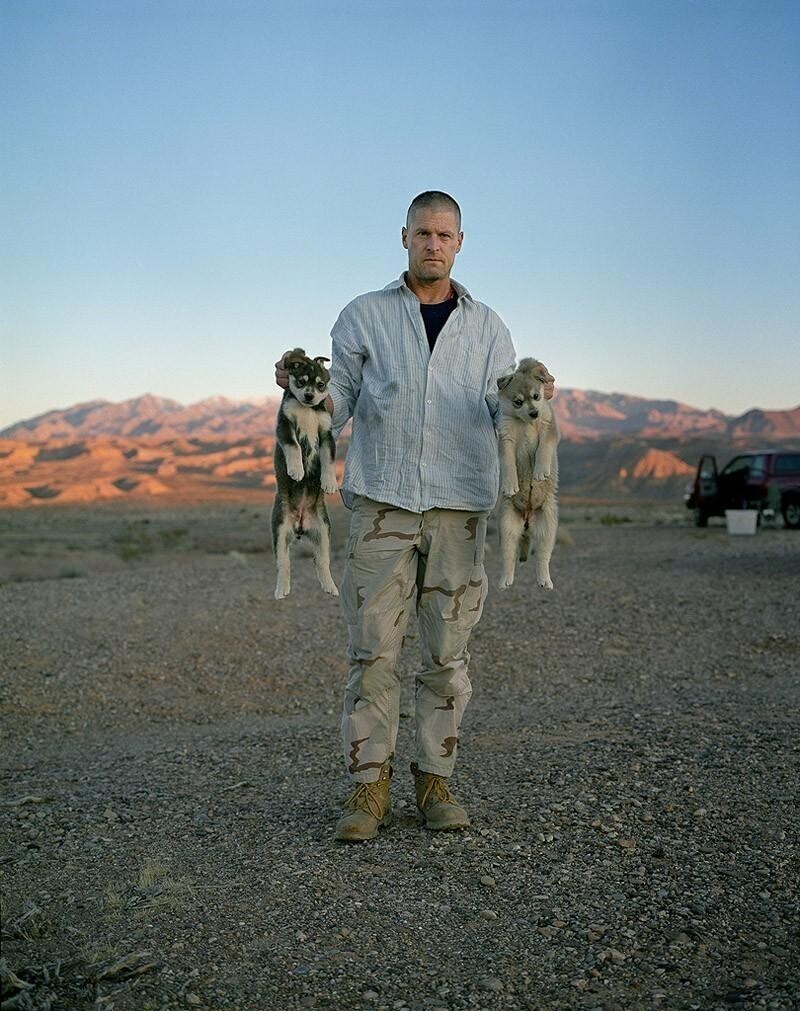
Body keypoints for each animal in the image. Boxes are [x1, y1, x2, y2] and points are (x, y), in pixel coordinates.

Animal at [273, 349, 337, 598]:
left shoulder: (327, 434)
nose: (310, 396)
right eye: (301, 381)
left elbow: (328, 461)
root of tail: (300, 525)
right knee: (284, 563)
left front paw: (330, 482)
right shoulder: (284, 424)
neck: (307, 410)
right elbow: (294, 447)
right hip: (280, 529)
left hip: (324, 532)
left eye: (320, 385)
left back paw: (330, 585)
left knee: (322, 561)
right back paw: (281, 589)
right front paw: (296, 469)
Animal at [497, 359, 558, 590]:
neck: (526, 423)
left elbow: (543, 449)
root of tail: (527, 519)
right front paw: (510, 484)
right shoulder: (505, 438)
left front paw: (540, 471)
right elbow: (507, 464)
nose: (534, 413)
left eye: (537, 396)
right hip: (507, 527)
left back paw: (544, 580)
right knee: (508, 557)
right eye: (517, 402)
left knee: (542, 556)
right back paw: (505, 580)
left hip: (548, 527)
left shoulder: (549, 428)